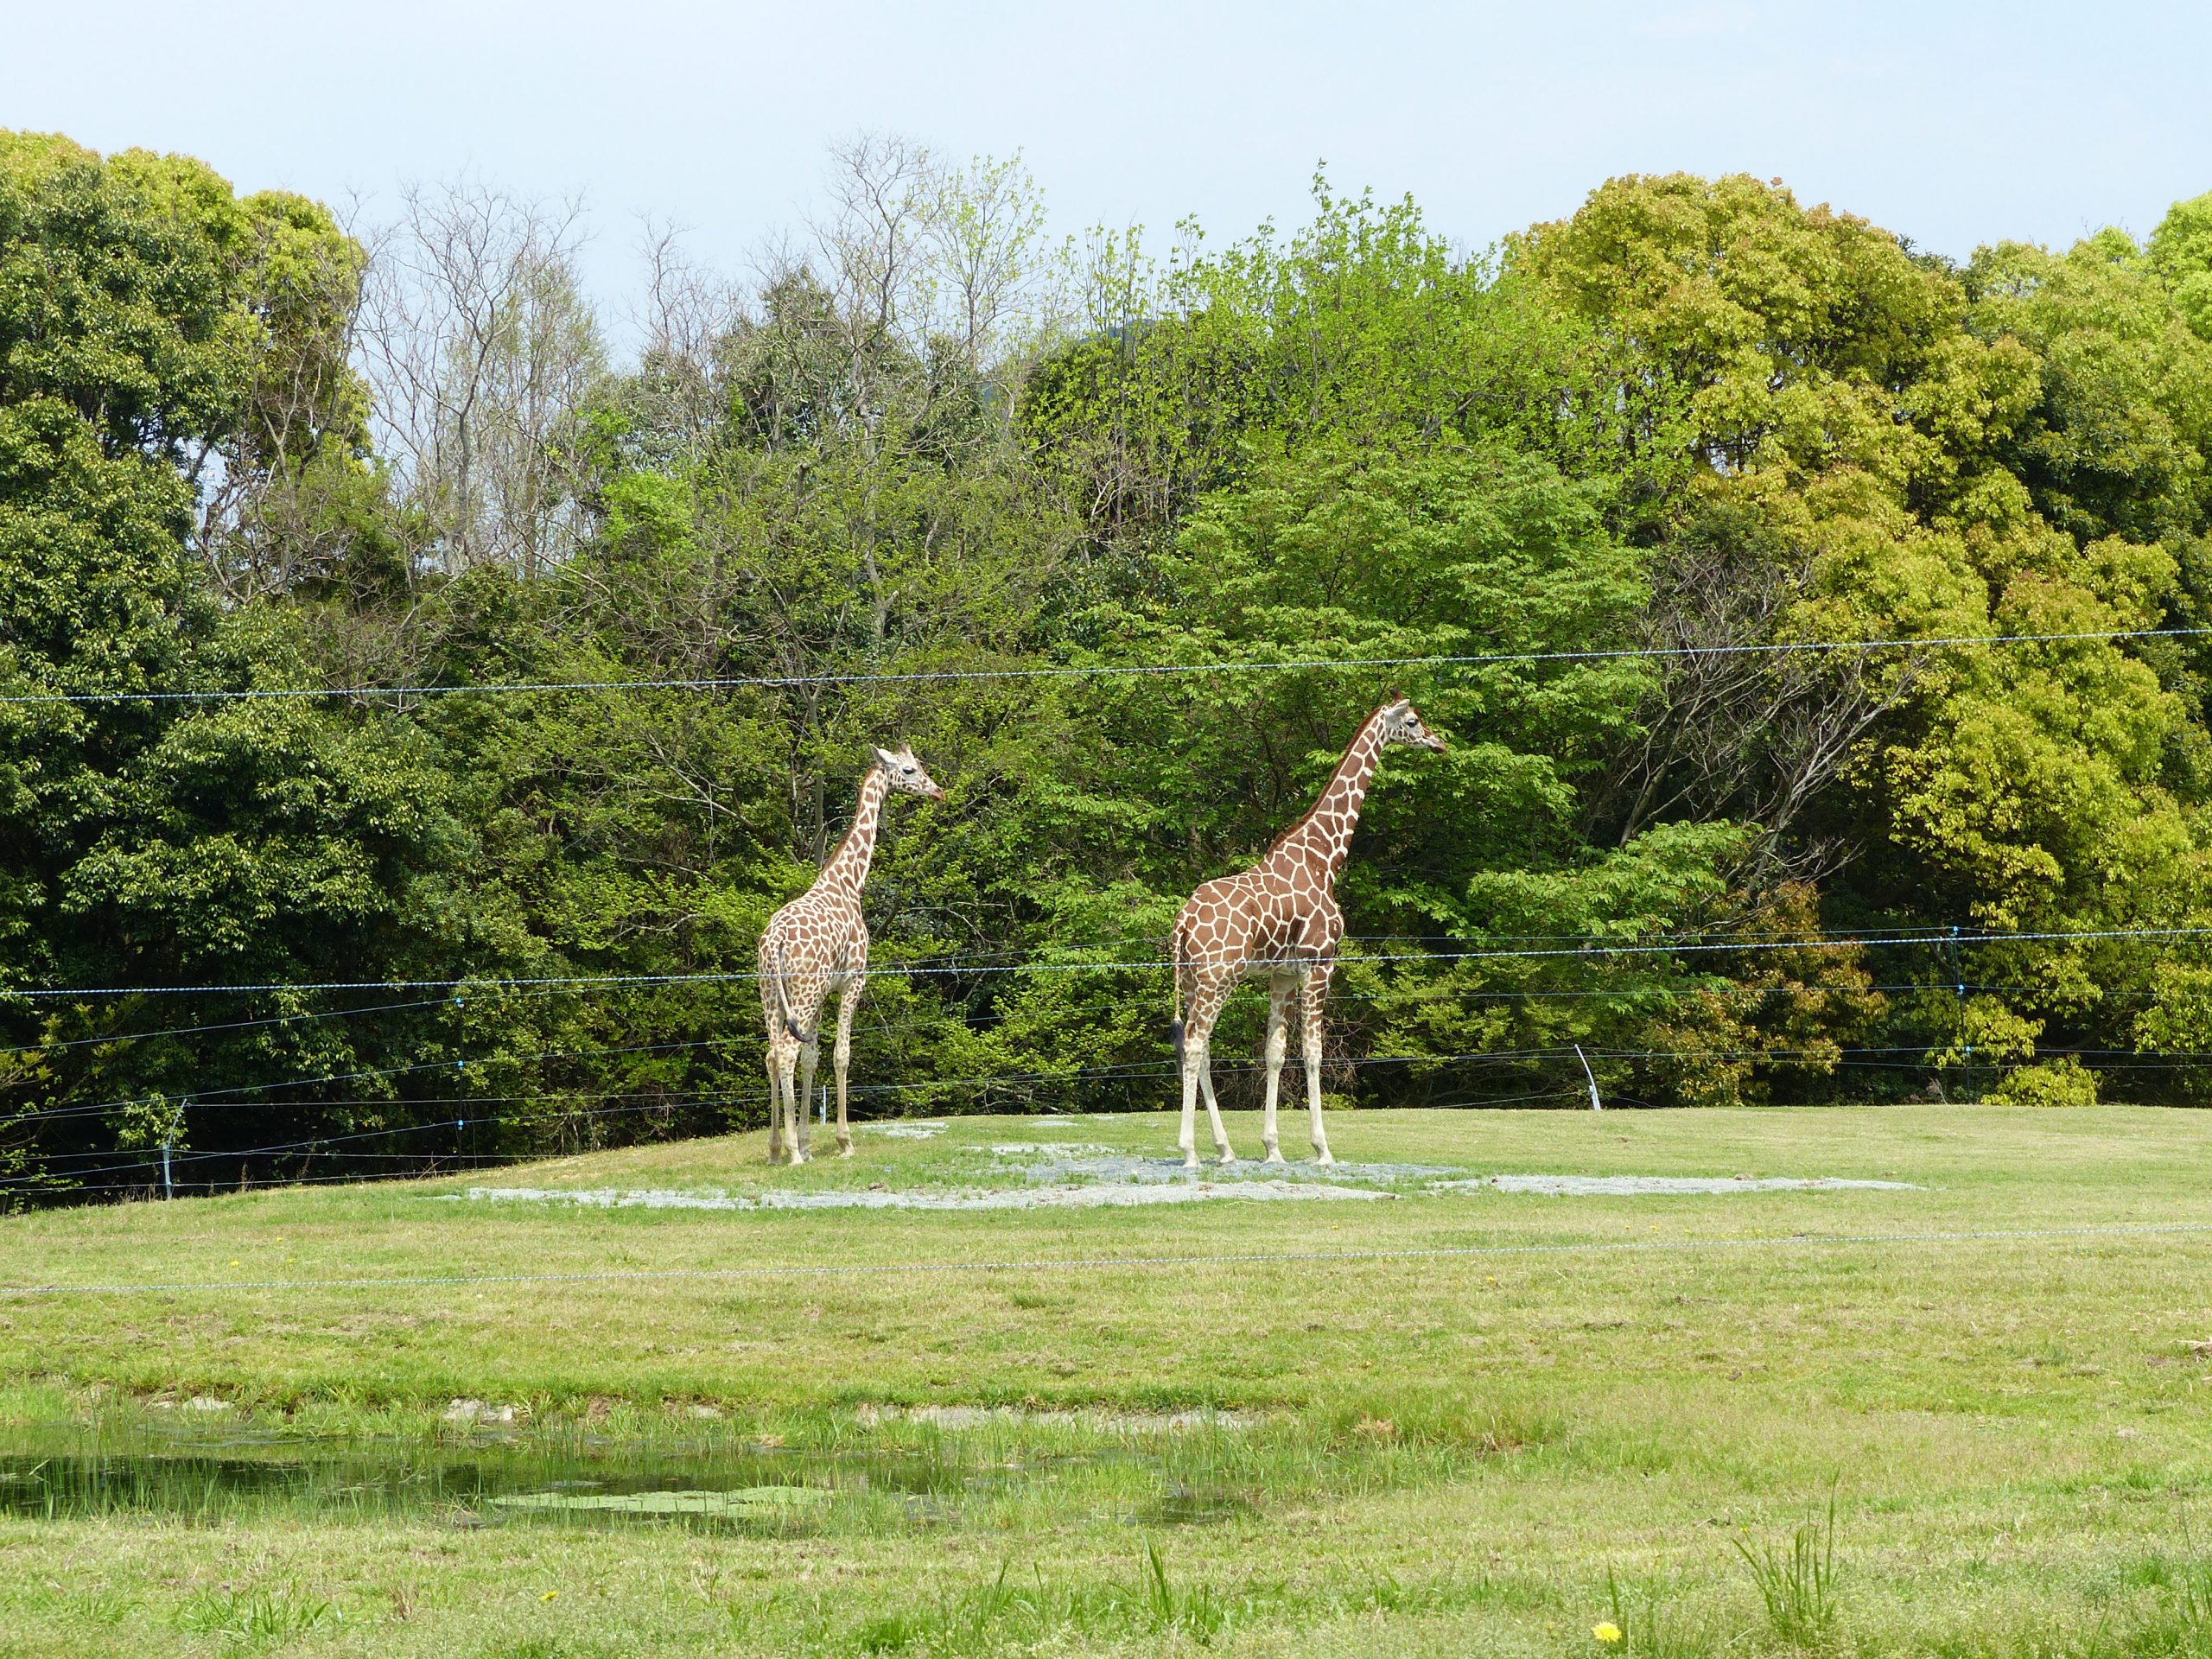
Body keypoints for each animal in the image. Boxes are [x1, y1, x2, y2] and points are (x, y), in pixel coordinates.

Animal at [760, 747, 942, 1159]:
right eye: (910, 770)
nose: (938, 791)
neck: (849, 882)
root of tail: (775, 942)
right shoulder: (852, 981)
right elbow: (840, 1055)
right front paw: (843, 1142)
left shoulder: (824, 992)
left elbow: (813, 1060)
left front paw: (810, 1143)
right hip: (803, 992)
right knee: (785, 1054)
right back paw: (792, 1154)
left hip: (772, 995)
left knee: (773, 1054)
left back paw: (777, 1149)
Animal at [1167, 703, 1442, 1167]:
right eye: (1412, 722)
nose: (1439, 743)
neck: (1324, 859)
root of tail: (1183, 922)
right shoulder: (1320, 963)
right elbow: (1313, 1053)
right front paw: (1323, 1149)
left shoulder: (1282, 974)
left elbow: (1275, 1054)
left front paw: (1273, 1149)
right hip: (1216, 977)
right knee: (1193, 1045)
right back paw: (1189, 1152)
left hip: (1192, 980)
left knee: (1198, 1048)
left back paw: (1225, 1150)